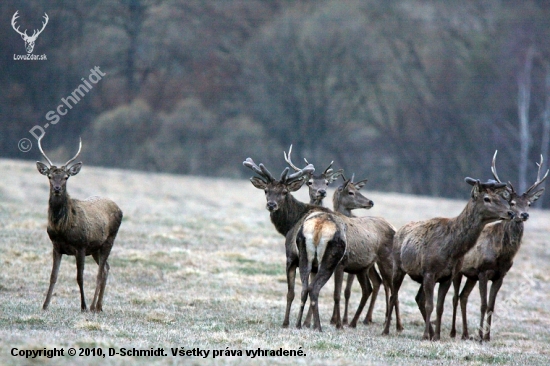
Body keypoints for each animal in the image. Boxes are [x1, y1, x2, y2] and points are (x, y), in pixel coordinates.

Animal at [36, 137, 123, 312]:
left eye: (66, 177)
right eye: (49, 176)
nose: (57, 188)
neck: (62, 228)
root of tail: (120, 209)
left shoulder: (81, 246)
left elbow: (79, 277)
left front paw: (83, 306)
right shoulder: (56, 246)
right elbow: (53, 276)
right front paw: (45, 305)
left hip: (109, 240)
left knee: (100, 272)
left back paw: (92, 306)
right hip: (96, 248)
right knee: (106, 268)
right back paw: (99, 306)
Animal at [384, 177, 516, 340]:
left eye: (502, 198)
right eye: (487, 198)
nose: (510, 212)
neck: (452, 250)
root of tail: (398, 231)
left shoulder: (447, 276)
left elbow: (439, 307)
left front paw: (436, 336)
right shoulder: (429, 271)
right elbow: (430, 305)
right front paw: (425, 335)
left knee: (418, 298)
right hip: (398, 266)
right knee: (394, 295)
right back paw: (386, 330)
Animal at [452, 152, 548, 340]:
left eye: (529, 204)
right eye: (512, 203)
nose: (523, 215)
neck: (501, 254)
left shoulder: (500, 275)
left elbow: (491, 306)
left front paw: (487, 337)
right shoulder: (483, 271)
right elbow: (483, 305)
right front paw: (480, 337)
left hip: (471, 276)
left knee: (463, 297)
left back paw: (465, 334)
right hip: (459, 271)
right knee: (454, 297)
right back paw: (455, 332)